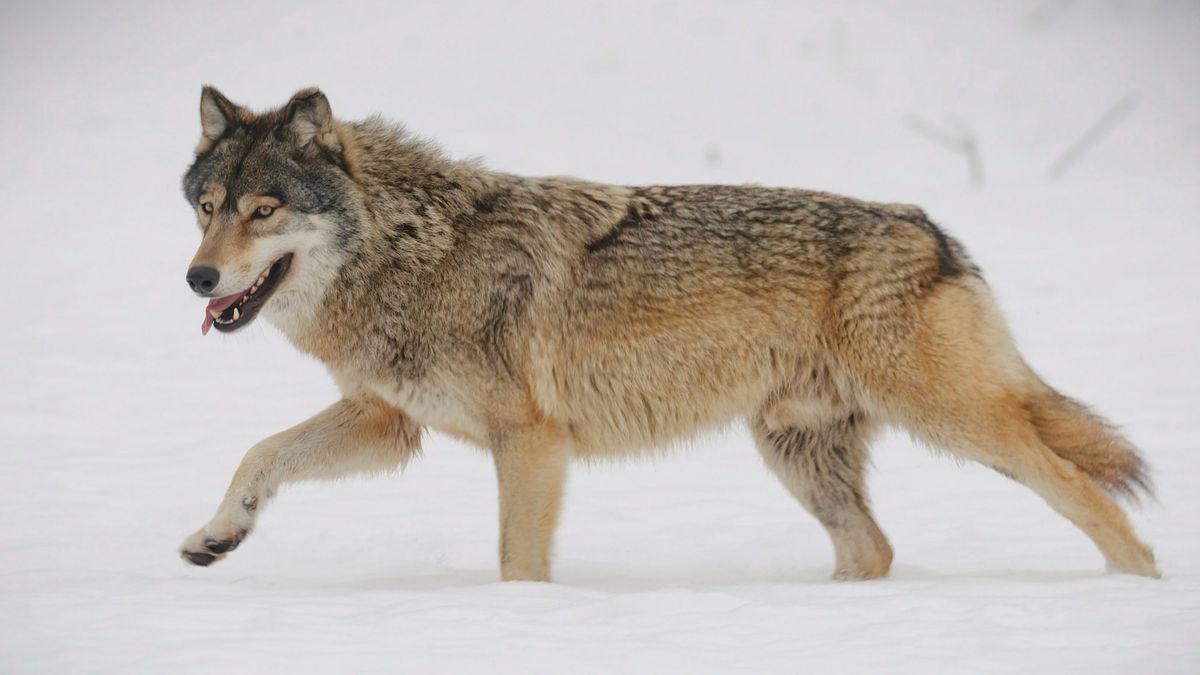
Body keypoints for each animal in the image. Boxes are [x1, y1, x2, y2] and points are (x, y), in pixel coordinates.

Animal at [174, 85, 1156, 578]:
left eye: (264, 211)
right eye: (208, 206)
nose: (199, 278)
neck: (416, 249)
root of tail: (931, 227)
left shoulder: (531, 441)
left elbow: (517, 561)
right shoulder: (389, 422)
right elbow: (259, 453)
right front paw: (217, 535)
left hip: (956, 424)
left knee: (1094, 497)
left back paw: (1135, 593)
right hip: (796, 450)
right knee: (873, 548)